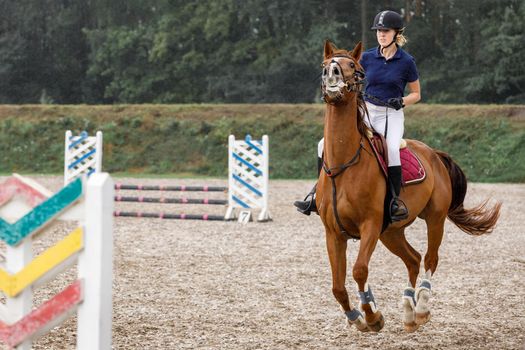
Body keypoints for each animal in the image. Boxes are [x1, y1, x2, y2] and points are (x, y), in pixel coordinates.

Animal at [316, 39, 500, 332]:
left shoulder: (370, 225)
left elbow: (359, 270)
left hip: (434, 218)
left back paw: (421, 307)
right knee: (413, 259)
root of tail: (434, 153)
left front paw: (372, 315)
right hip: (391, 232)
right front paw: (356, 317)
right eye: (325, 64)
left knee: (430, 259)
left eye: (353, 66)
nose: (331, 74)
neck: (343, 167)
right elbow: (337, 286)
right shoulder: (333, 233)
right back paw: (408, 311)